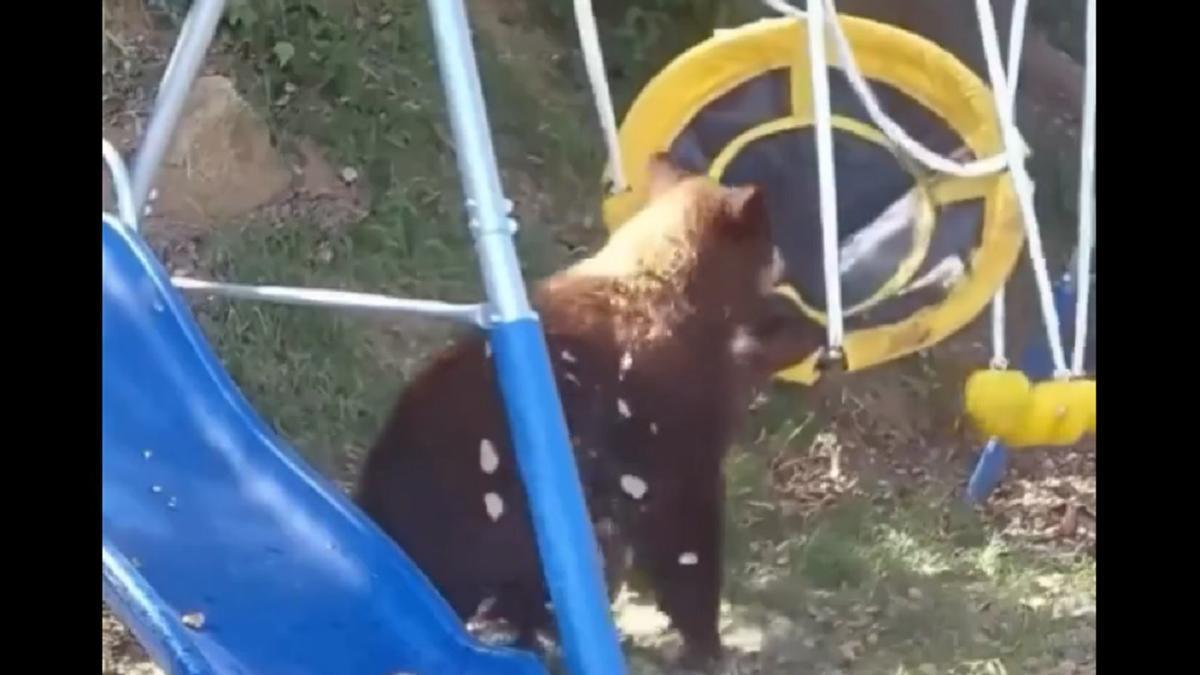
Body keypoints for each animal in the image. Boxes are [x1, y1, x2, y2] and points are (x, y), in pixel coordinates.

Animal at [354, 154, 822, 667]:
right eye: (774, 244)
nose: (811, 317)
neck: (658, 287)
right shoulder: (678, 478)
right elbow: (690, 571)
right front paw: (706, 647)